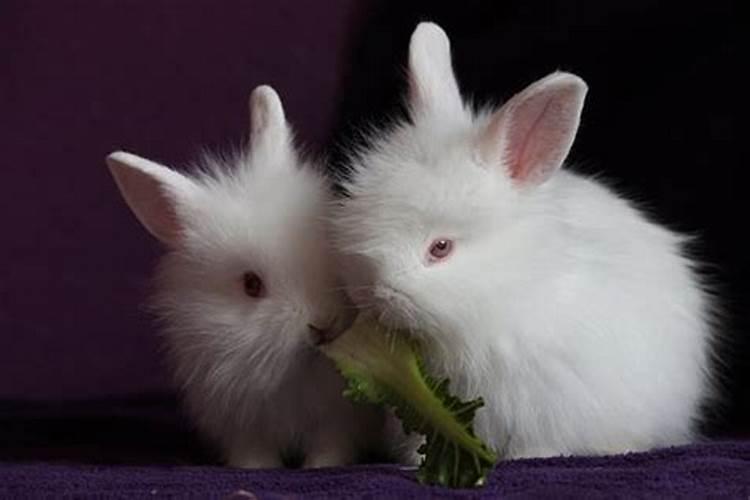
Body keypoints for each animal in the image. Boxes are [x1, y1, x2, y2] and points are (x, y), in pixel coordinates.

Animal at [108, 85, 384, 468]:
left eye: (331, 253)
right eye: (251, 285)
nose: (323, 324)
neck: (293, 373)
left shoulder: (338, 419)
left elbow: (330, 445)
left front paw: (321, 466)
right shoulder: (240, 420)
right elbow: (254, 450)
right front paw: (258, 467)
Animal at [332, 23, 720, 460]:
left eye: (440, 248)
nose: (379, 295)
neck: (506, 293)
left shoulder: (547, 403)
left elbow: (540, 441)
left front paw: (531, 457)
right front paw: (410, 462)